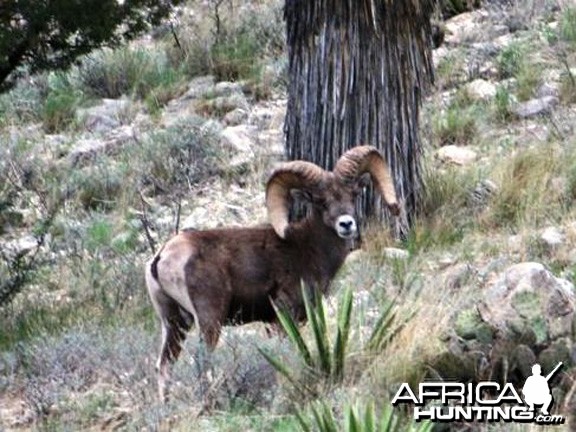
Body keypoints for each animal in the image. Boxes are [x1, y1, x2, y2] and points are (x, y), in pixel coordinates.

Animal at [145, 144, 396, 398]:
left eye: (353, 194)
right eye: (320, 201)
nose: (346, 224)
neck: (307, 248)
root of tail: (162, 257)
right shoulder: (283, 318)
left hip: (174, 324)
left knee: (164, 365)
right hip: (209, 320)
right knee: (202, 362)